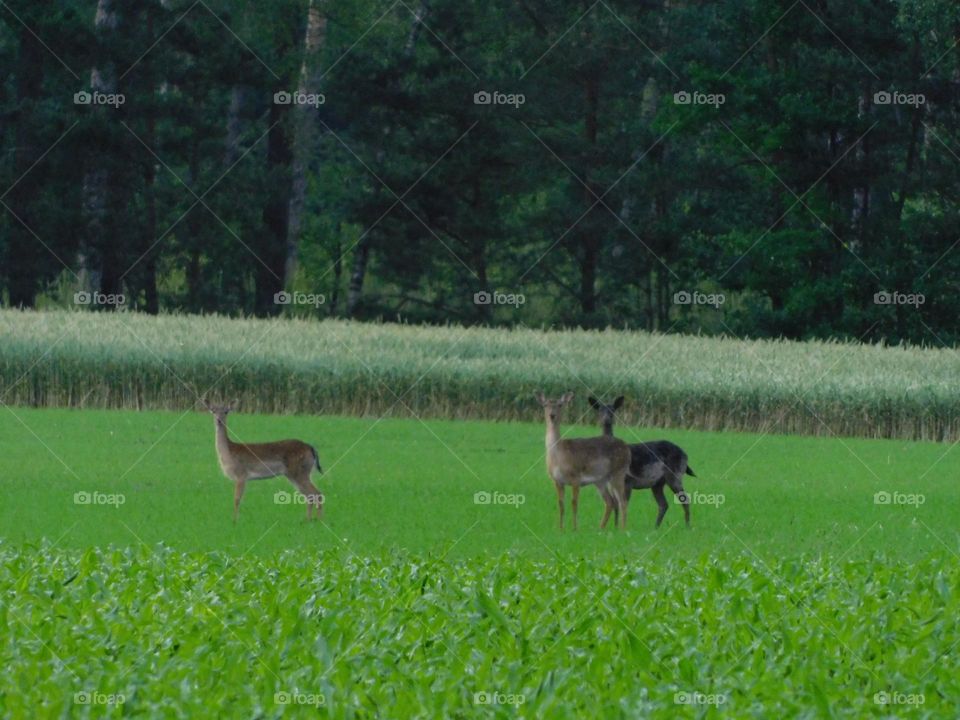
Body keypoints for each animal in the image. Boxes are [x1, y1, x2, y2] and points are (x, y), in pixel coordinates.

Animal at [536, 391, 632, 530]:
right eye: (545, 405)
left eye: (560, 405)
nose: (552, 415)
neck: (558, 457)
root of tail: (627, 448)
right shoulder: (556, 480)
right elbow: (561, 504)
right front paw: (561, 529)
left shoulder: (575, 476)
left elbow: (574, 503)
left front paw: (575, 528)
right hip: (600, 480)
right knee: (610, 501)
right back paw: (600, 528)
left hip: (618, 472)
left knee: (622, 501)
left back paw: (623, 529)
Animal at [589, 396, 697, 529]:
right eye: (599, 410)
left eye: (613, 410)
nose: (606, 419)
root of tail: (685, 455)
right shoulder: (612, 483)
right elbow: (615, 505)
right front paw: (615, 527)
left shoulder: (628, 481)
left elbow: (623, 504)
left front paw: (622, 528)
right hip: (657, 483)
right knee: (664, 504)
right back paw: (656, 528)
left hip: (675, 474)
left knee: (685, 500)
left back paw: (687, 527)